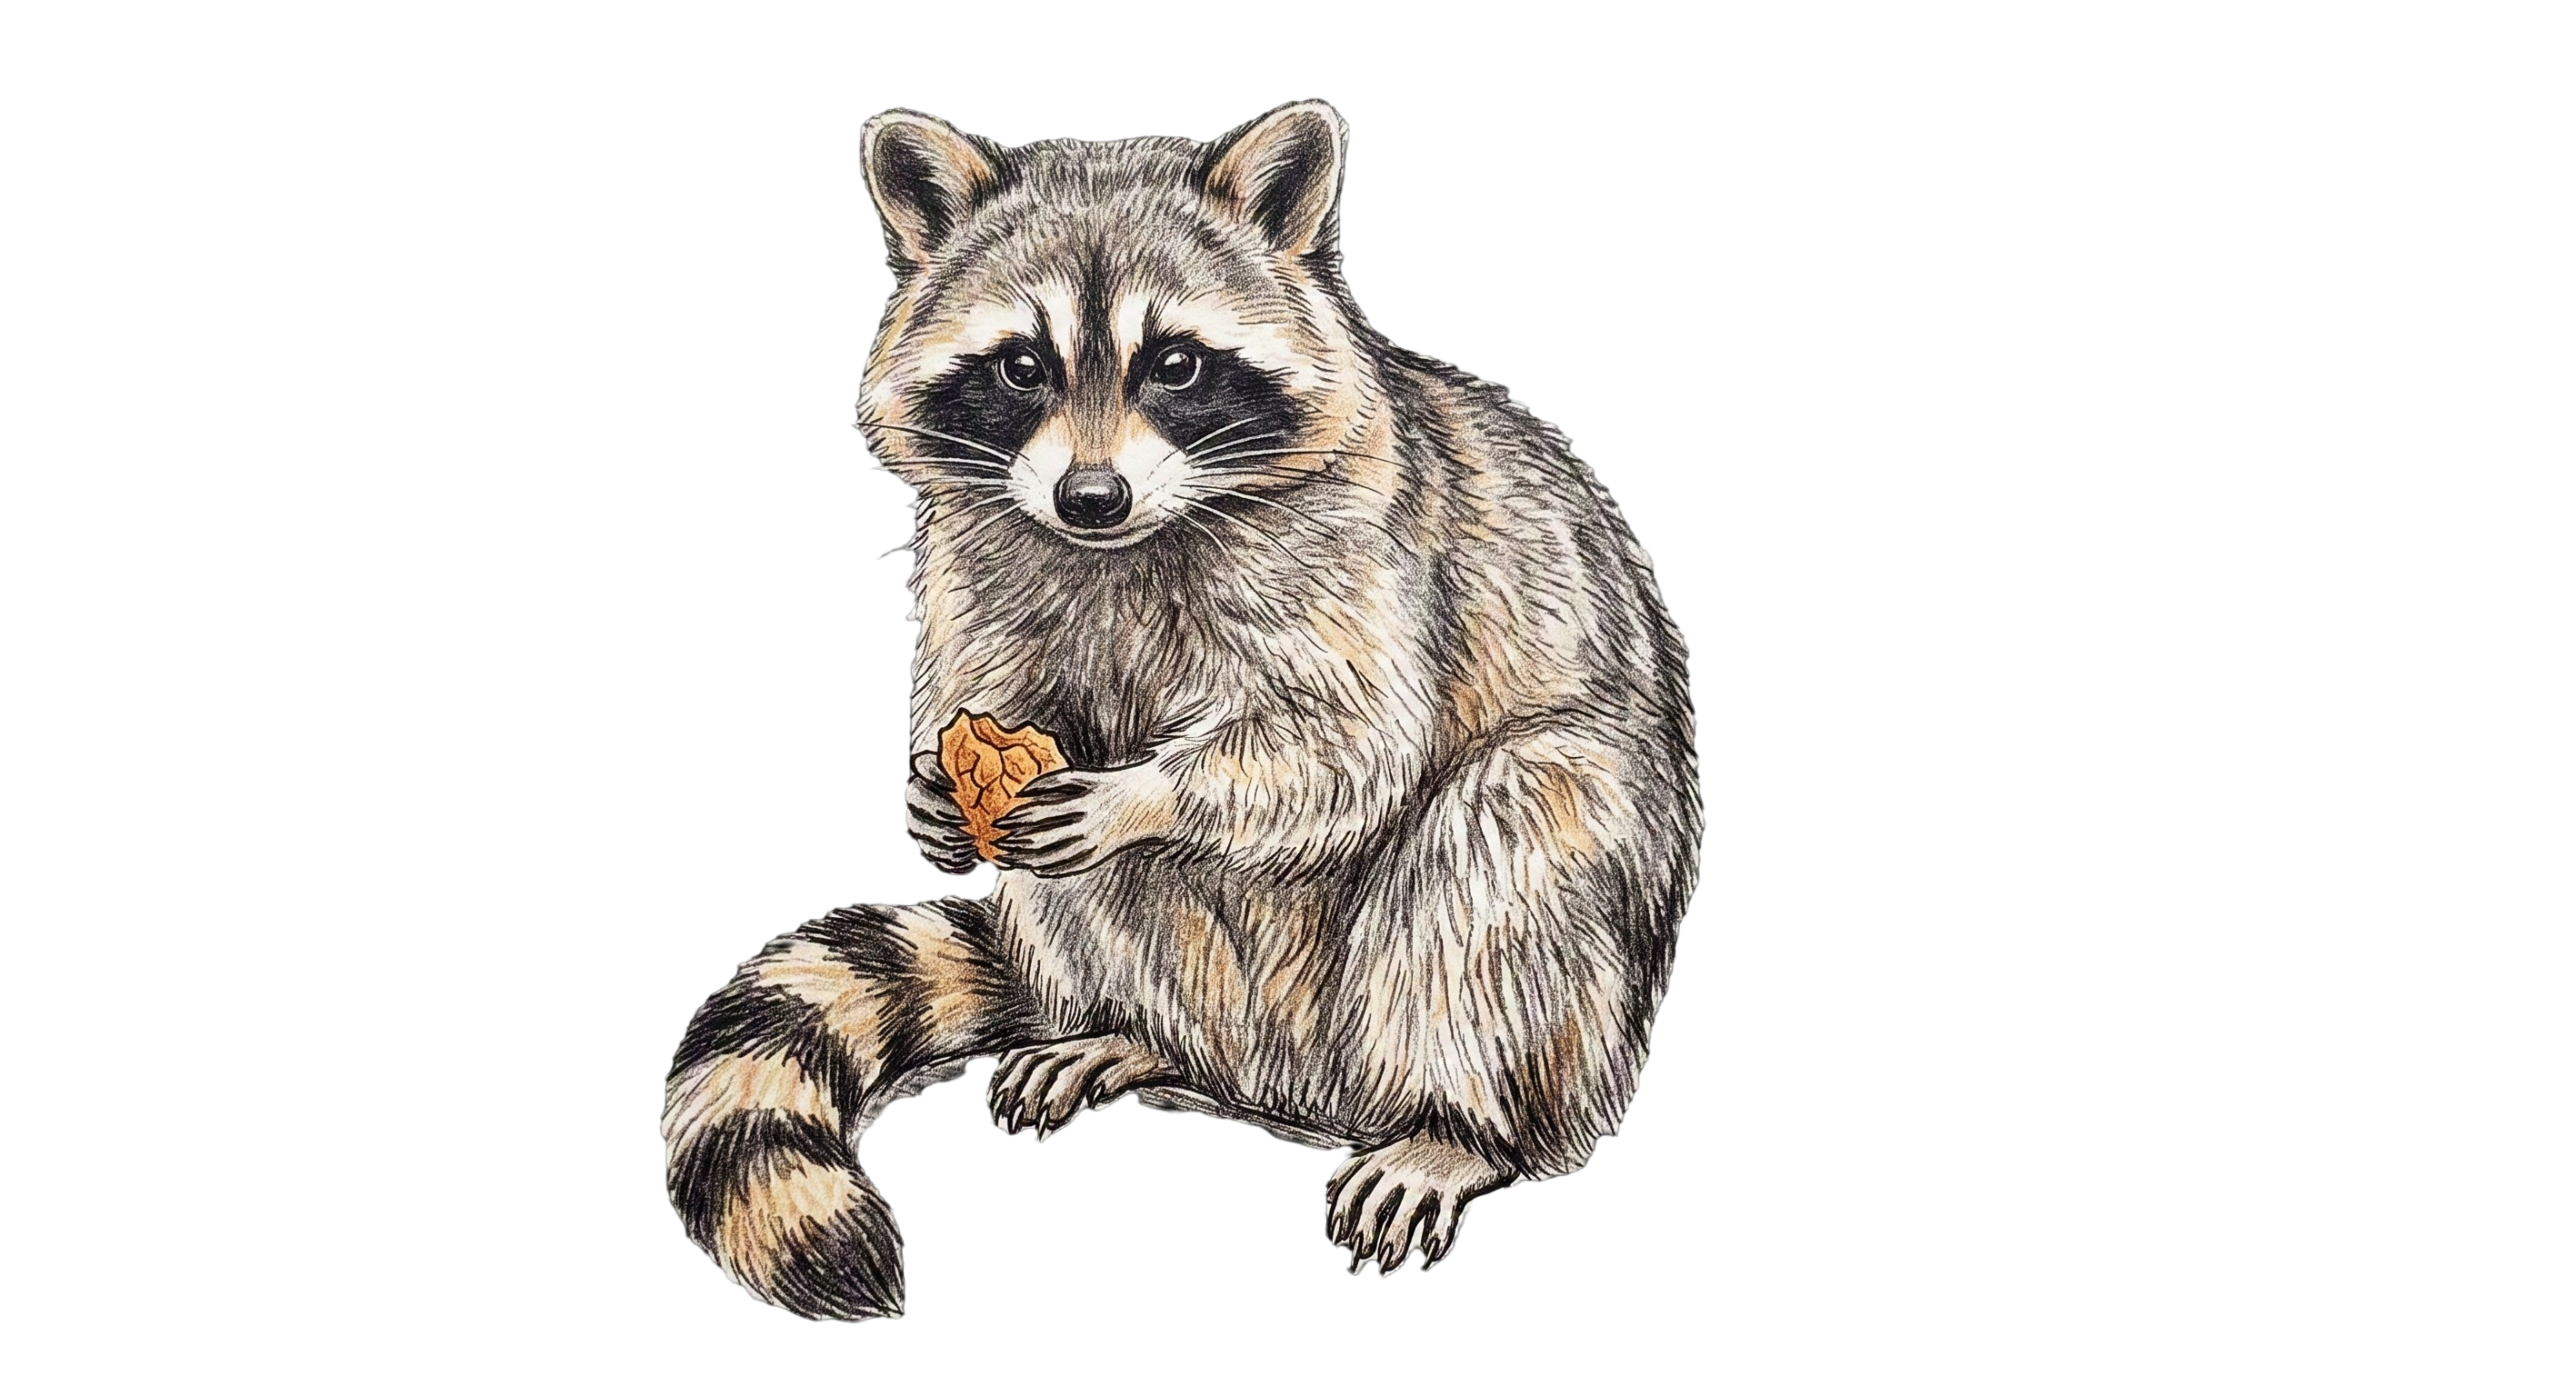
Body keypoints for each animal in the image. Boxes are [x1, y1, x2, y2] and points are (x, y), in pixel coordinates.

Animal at [662, 100, 1702, 1322]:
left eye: (1175, 365)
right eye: (1022, 366)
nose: (1089, 497)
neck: (1132, 539)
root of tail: (1304, 1092)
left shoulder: (1367, 551)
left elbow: (1350, 742)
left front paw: (1143, 795)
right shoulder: (979, 556)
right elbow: (988, 695)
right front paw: (930, 796)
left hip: (1560, 939)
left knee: (1514, 829)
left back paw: (1470, 1130)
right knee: (1089, 904)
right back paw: (1138, 1038)